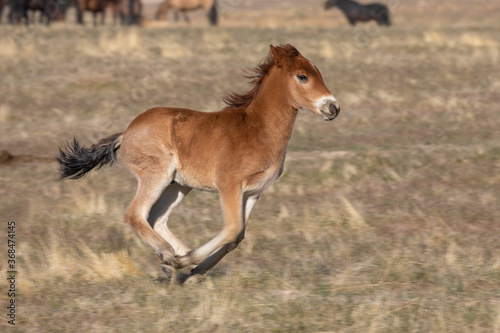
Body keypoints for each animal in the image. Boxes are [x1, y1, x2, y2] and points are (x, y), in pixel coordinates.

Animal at [57, 44, 340, 282]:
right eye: (302, 77)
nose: (333, 108)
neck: (257, 129)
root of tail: (126, 133)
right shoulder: (229, 185)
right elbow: (232, 228)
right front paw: (188, 262)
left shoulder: (254, 192)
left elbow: (237, 237)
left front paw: (194, 269)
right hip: (157, 175)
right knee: (135, 214)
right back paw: (170, 255)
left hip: (179, 185)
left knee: (157, 218)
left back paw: (173, 260)